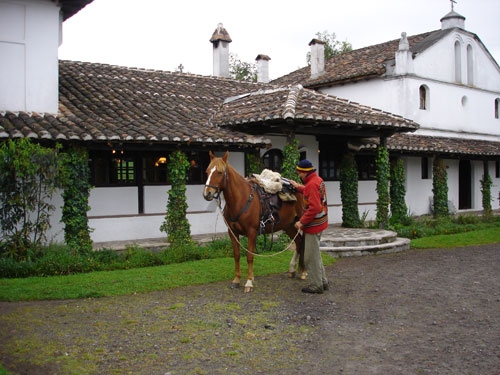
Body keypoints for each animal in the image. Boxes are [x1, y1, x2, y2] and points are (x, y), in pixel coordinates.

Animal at [203, 151, 304, 292]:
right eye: (207, 171)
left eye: (219, 172)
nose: (207, 193)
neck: (241, 199)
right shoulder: (232, 232)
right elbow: (237, 255)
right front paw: (236, 280)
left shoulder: (252, 232)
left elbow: (250, 257)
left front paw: (249, 282)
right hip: (289, 225)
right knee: (299, 243)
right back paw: (293, 270)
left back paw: (304, 272)